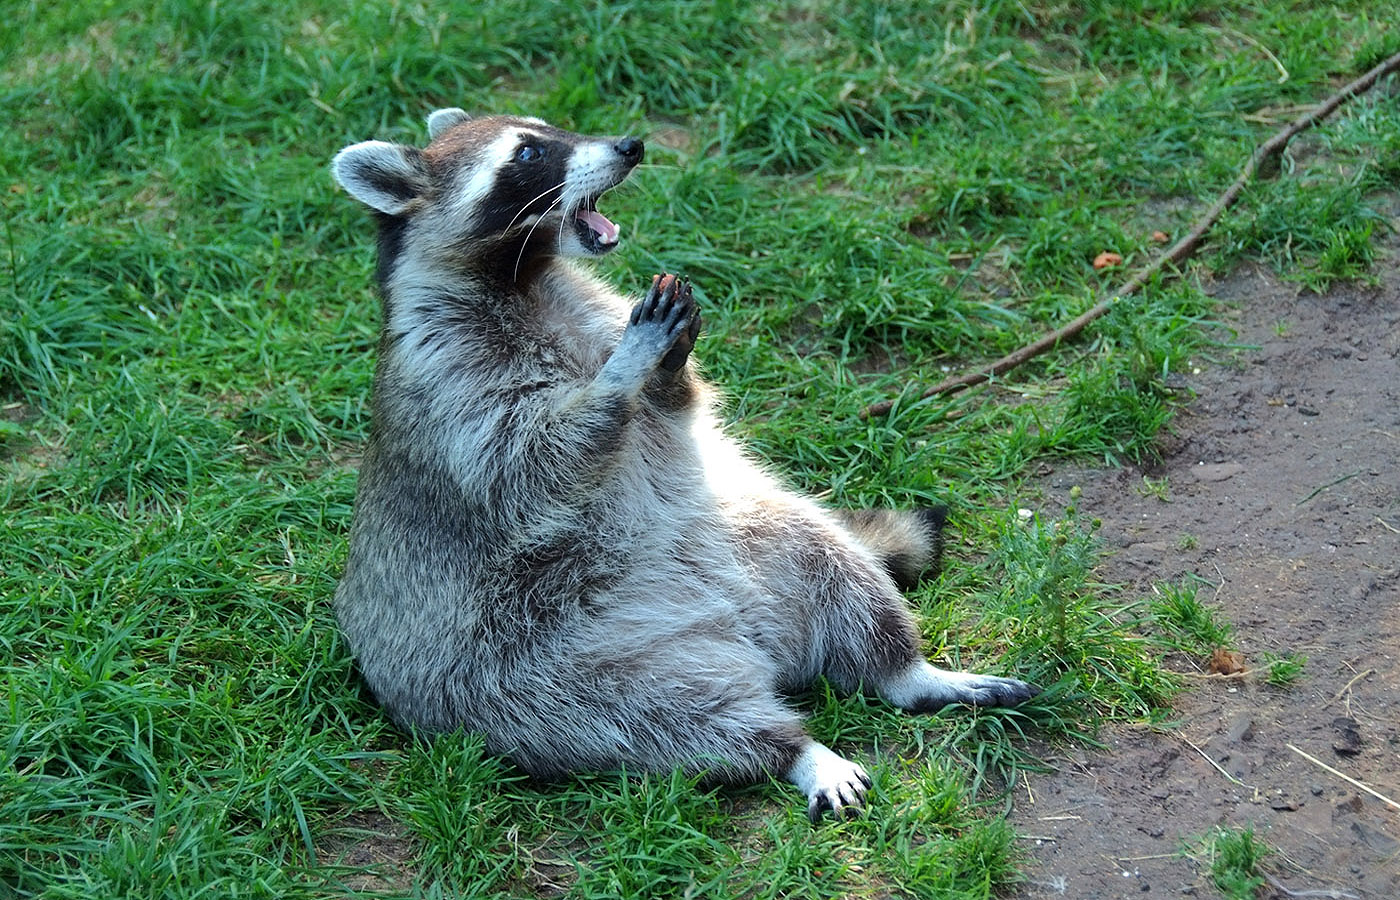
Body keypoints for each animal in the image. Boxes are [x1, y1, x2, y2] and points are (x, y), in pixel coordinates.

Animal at [324, 109, 1030, 823]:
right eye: (527, 153)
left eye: (549, 128)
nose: (629, 146)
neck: (521, 277)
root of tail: (753, 644)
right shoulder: (450, 378)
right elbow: (531, 461)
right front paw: (621, 375)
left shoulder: (588, 308)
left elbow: (671, 408)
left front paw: (665, 366)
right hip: (531, 670)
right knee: (658, 717)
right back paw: (796, 749)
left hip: (760, 542)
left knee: (835, 566)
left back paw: (906, 670)